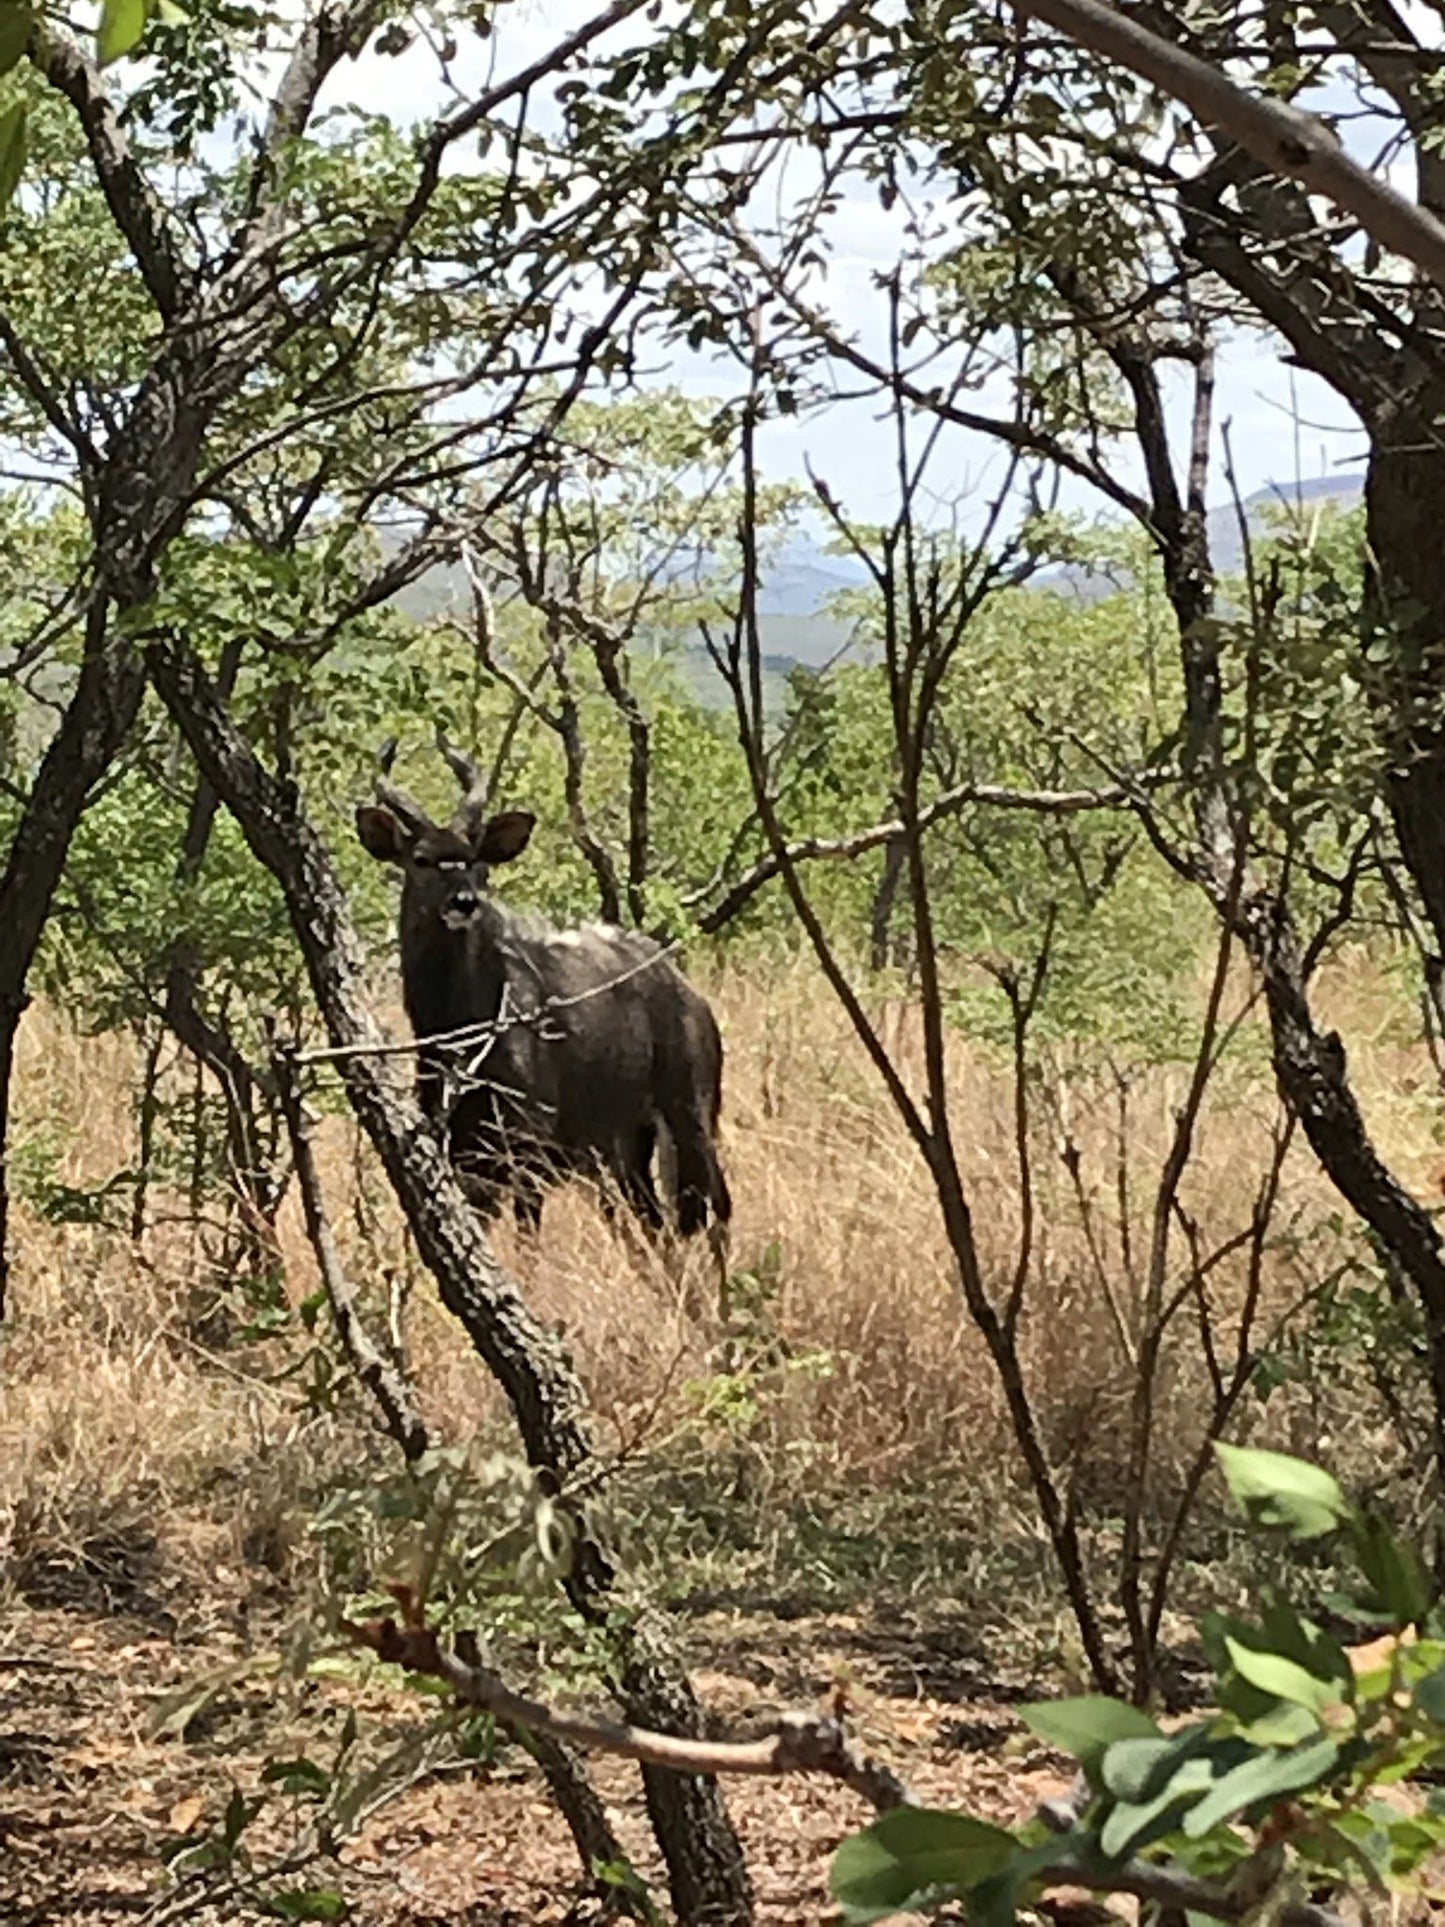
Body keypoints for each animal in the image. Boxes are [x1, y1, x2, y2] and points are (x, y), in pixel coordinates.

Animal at [352, 736, 735, 1279]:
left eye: (474, 860)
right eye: (421, 859)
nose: (464, 902)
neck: (464, 1031)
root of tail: (694, 1000)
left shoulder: (527, 1150)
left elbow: (528, 1246)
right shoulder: (465, 1158)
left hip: (690, 1115)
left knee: (716, 1209)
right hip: (624, 1153)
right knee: (655, 1228)